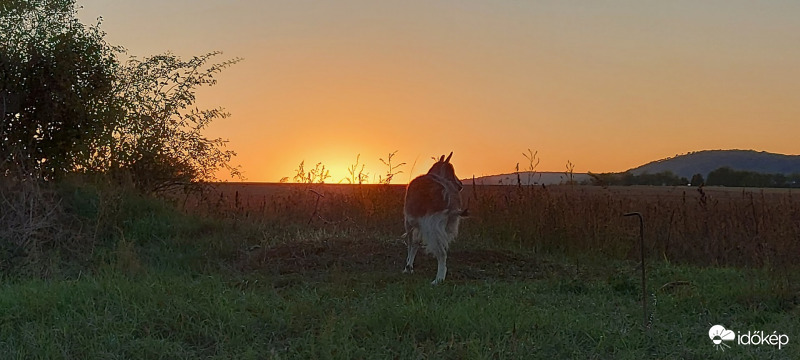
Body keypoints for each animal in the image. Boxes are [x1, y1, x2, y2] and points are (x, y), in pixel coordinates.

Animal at [404, 151, 466, 284]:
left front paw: (408, 267)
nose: (460, 186)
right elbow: (416, 244)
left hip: (432, 226)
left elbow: (411, 244)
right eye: (451, 171)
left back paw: (438, 280)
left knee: (442, 253)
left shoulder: (410, 222)